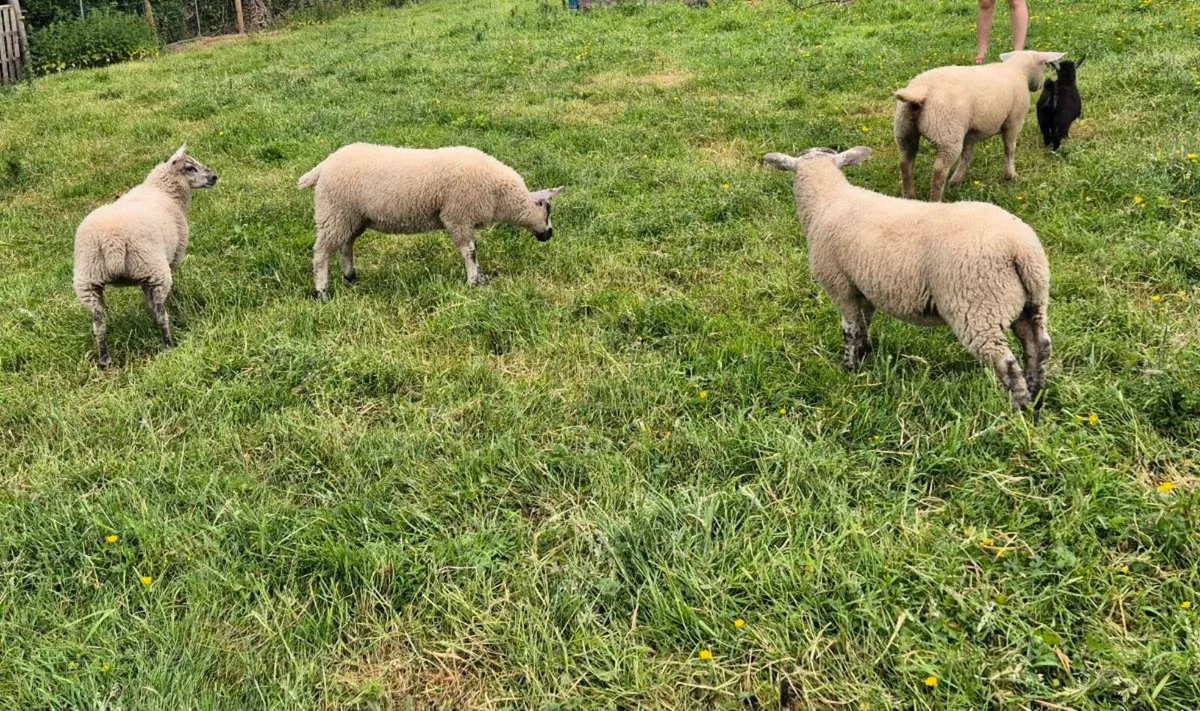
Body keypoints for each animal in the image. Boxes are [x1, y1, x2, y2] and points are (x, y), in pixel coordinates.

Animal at [73, 145, 218, 369]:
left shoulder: (143, 276)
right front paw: (174, 298)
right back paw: (168, 345)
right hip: (154, 270)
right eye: (190, 167)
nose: (214, 177)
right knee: (161, 315)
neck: (163, 191)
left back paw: (105, 360)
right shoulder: (171, 260)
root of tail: (112, 242)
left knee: (99, 324)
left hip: (89, 282)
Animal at [296, 144, 564, 299]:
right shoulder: (457, 216)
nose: (549, 234)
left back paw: (351, 277)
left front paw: (480, 278)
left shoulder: (462, 219)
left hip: (351, 217)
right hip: (334, 212)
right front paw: (473, 282)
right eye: (548, 209)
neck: (501, 196)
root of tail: (322, 167)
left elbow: (473, 250)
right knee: (321, 253)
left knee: (346, 245)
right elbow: (470, 251)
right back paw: (322, 292)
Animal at [763, 145, 1052, 411]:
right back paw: (1037, 396)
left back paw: (1021, 411)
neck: (827, 201)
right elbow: (864, 325)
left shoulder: (840, 286)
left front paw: (849, 368)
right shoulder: (864, 286)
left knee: (1007, 364)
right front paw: (866, 353)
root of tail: (1021, 249)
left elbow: (850, 330)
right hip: (1028, 302)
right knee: (1038, 346)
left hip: (978, 308)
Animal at [894, 50, 1065, 201]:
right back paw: (935, 200)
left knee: (905, 162)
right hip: (948, 135)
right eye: (1045, 66)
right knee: (939, 170)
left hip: (904, 129)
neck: (1018, 70)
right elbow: (1009, 149)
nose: (1040, 86)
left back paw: (909, 195)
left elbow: (967, 155)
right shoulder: (1014, 121)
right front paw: (1010, 175)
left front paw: (956, 180)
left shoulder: (971, 131)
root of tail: (922, 92)